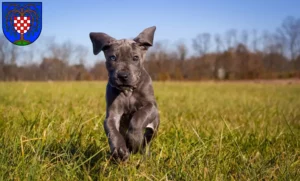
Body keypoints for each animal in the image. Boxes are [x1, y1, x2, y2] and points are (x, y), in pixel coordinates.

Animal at [88, 26, 159, 160]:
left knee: (147, 141)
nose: (123, 76)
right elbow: (112, 131)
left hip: (153, 127)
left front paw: (134, 141)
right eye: (112, 58)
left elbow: (139, 117)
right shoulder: (112, 114)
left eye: (135, 58)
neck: (128, 91)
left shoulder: (151, 106)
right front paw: (119, 149)